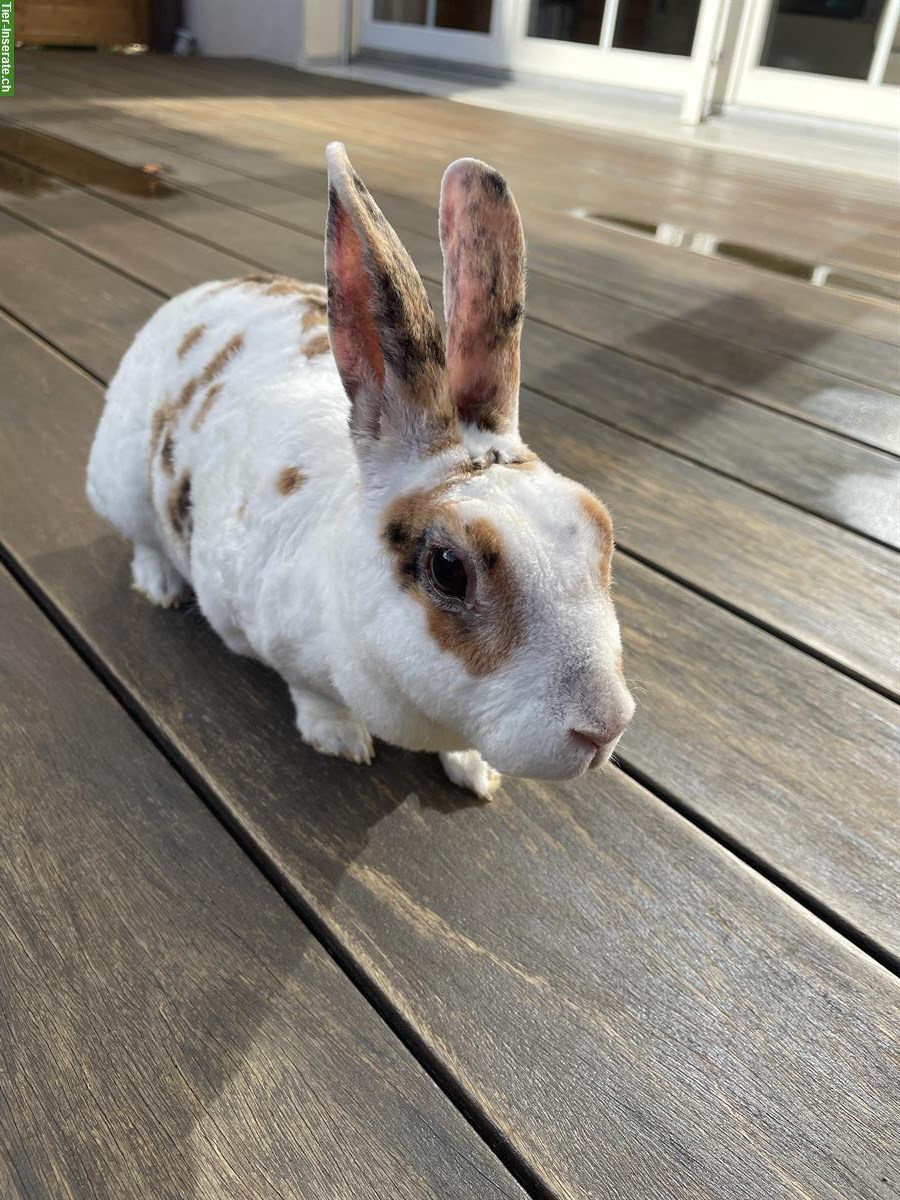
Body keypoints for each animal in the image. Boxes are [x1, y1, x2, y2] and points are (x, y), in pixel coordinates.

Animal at [86, 142, 634, 800]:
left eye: (602, 529)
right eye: (449, 568)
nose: (603, 729)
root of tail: (187, 299)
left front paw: (477, 773)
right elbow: (311, 694)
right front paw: (340, 740)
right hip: (121, 485)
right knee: (141, 540)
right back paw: (162, 585)